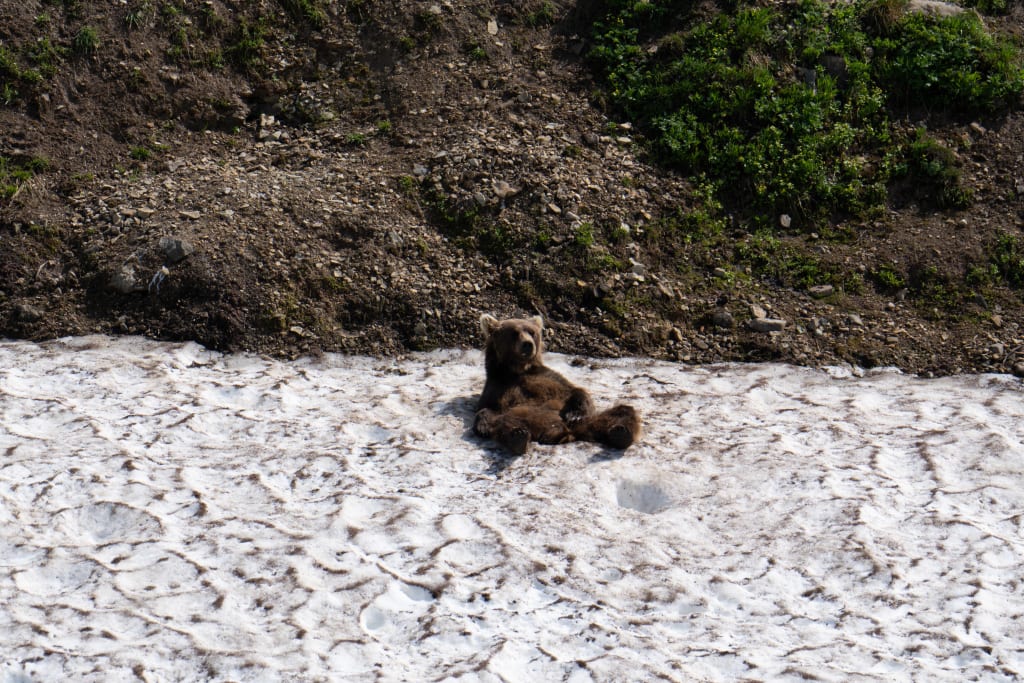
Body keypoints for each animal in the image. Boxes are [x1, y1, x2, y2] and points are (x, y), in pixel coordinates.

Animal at [472, 313, 641, 455]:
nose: (528, 344)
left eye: (531, 332)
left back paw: (621, 432)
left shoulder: (548, 377)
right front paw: (483, 426)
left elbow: (575, 391)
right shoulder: (498, 386)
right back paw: (518, 437)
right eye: (514, 333)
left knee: (623, 412)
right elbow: (486, 410)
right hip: (519, 416)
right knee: (504, 422)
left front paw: (574, 414)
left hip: (589, 421)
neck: (519, 370)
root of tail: (564, 435)